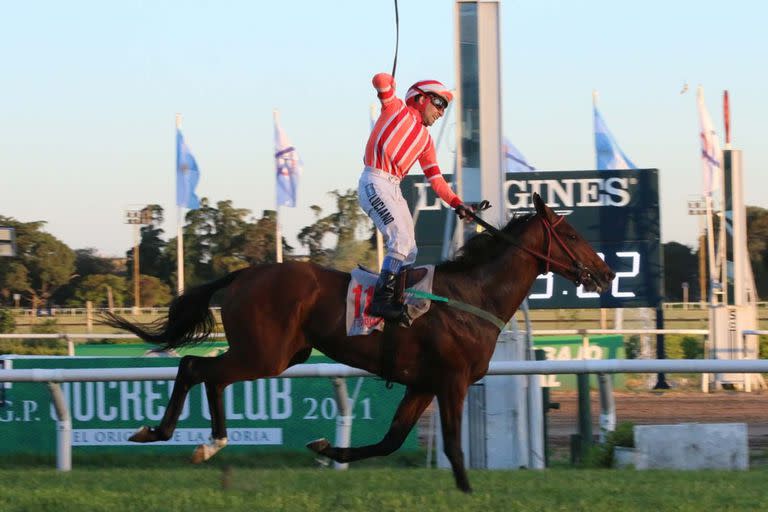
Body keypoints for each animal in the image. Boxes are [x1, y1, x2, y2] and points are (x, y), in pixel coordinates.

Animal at [100, 192, 612, 492]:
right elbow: (451, 444)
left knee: (203, 372)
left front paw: (328, 449)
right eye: (570, 233)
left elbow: (389, 441)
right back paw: (188, 438)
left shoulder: (421, 384)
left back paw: (191, 439)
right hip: (265, 354)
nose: (606, 273)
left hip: (279, 353)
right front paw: (467, 490)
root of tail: (245, 273)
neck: (472, 296)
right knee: (197, 368)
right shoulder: (452, 381)